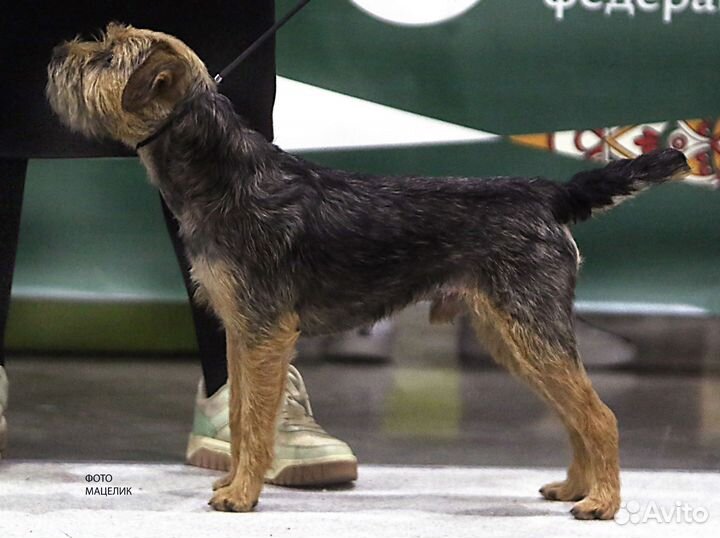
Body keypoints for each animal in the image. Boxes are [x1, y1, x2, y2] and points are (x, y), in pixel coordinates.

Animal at [46, 23, 708, 516]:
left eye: (104, 56)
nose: (55, 52)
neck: (227, 175)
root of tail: (547, 194)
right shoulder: (241, 331)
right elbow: (237, 414)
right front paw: (234, 481)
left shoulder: (264, 333)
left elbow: (255, 420)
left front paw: (242, 495)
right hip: (514, 335)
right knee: (574, 412)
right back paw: (575, 486)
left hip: (531, 328)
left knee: (600, 415)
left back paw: (602, 502)